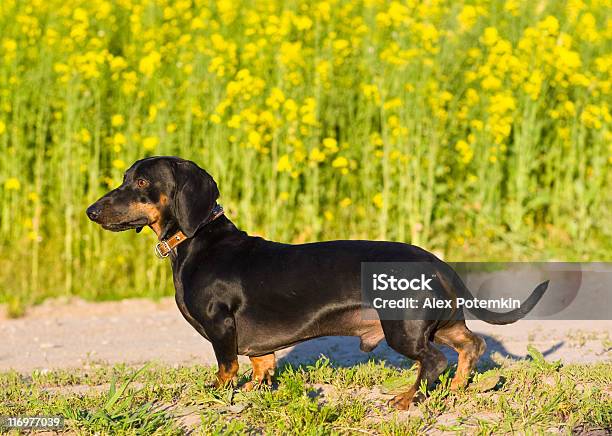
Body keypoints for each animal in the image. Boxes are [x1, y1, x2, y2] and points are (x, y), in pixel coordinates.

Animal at [85, 157, 544, 408]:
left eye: (142, 182)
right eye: (125, 177)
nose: (91, 211)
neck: (198, 242)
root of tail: (436, 262)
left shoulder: (220, 327)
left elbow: (225, 368)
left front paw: (216, 395)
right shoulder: (257, 346)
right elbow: (261, 366)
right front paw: (257, 392)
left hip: (403, 327)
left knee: (434, 362)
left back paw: (407, 399)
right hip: (438, 321)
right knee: (471, 345)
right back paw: (462, 387)